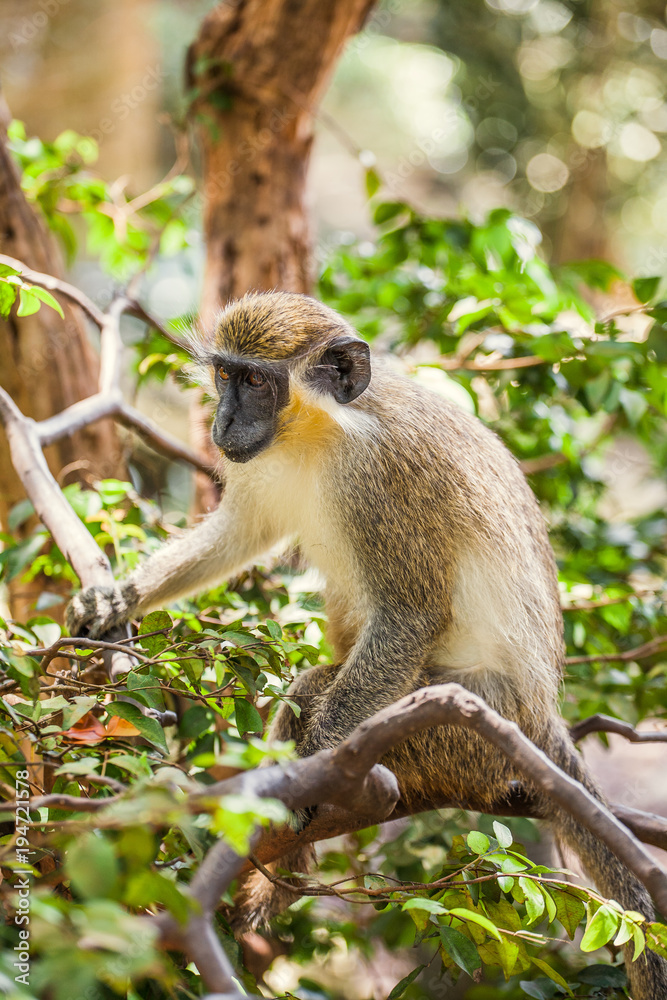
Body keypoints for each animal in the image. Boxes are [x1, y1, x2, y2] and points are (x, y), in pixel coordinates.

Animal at [69, 292, 667, 1000]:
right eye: (224, 374)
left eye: (256, 382)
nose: (224, 420)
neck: (323, 432)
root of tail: (540, 717)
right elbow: (242, 530)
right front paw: (119, 597)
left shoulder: (385, 477)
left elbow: (409, 615)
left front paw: (311, 772)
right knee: (307, 687)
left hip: (466, 735)